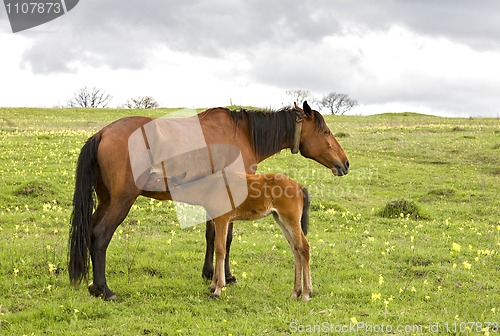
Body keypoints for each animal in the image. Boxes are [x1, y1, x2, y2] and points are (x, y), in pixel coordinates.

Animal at [68, 101, 346, 300]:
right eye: (326, 131)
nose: (345, 163)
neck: (242, 133)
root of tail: (103, 133)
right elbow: (226, 240)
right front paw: (226, 277)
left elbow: (211, 236)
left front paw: (210, 274)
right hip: (121, 201)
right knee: (101, 235)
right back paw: (104, 289)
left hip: (105, 200)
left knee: (90, 231)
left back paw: (93, 286)